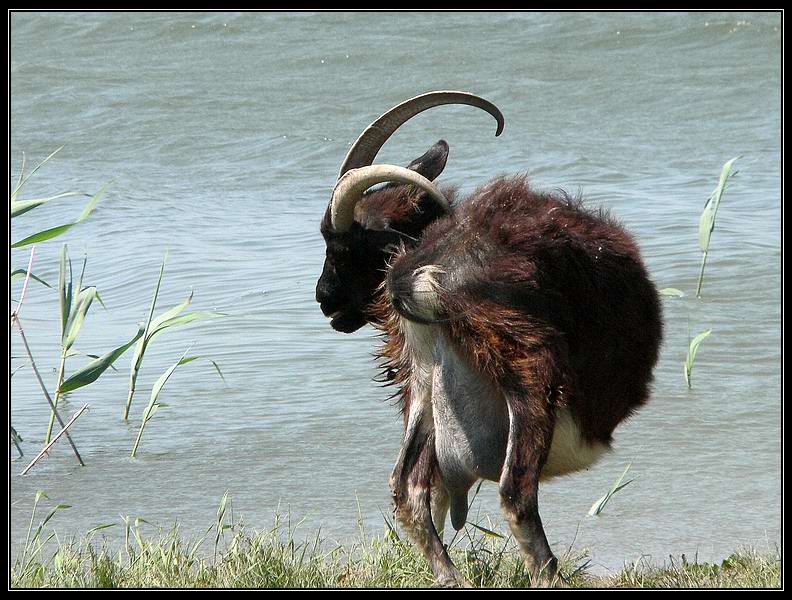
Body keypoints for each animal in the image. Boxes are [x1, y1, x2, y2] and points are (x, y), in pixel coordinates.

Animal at [316, 92, 664, 584]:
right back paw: (547, 575)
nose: (323, 300)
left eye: (343, 248)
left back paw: (451, 577)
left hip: (426, 388)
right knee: (515, 493)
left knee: (407, 488)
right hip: (525, 371)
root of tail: (416, 275)